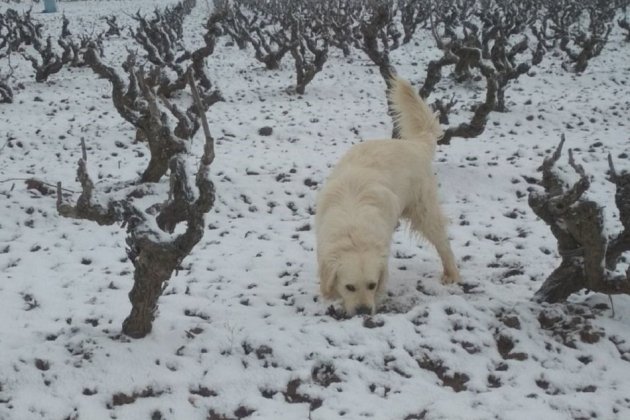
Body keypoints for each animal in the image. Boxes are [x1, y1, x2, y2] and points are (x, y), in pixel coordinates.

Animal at [318, 75, 462, 316]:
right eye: (349, 287)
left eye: (372, 285)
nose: (364, 311)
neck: (354, 230)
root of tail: (415, 144)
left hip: (424, 211)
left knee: (443, 243)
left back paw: (451, 273)